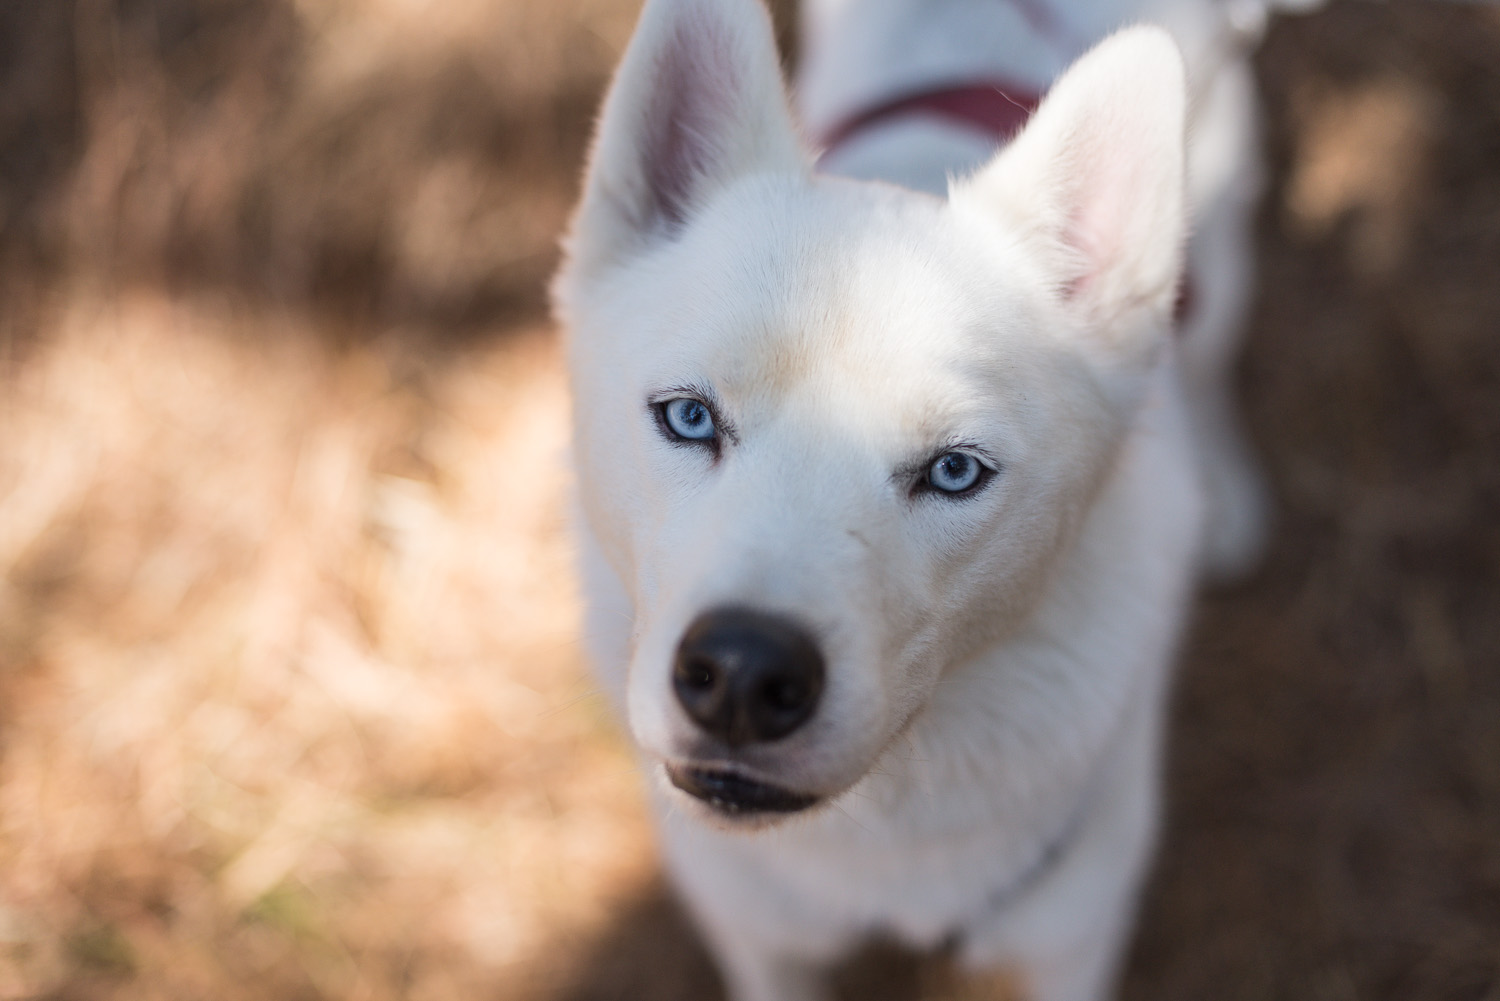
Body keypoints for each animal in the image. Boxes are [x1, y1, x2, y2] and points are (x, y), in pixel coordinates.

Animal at [552, 0, 1278, 996]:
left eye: (955, 471)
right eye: (691, 417)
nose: (741, 675)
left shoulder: (1070, 943)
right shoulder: (761, 938)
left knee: (1205, 362)